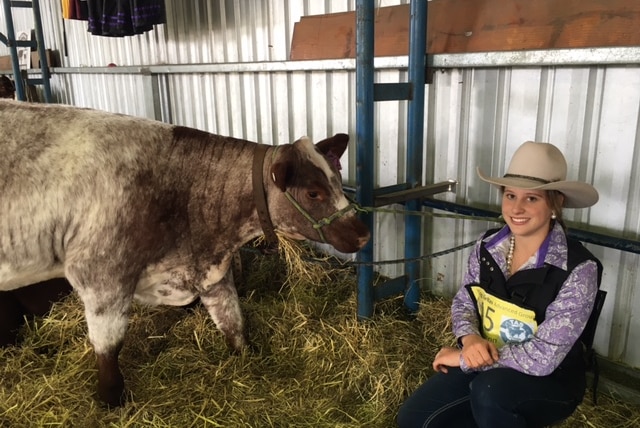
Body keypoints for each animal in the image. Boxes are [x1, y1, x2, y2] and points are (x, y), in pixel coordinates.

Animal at [0, 99, 370, 404]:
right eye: (312, 193)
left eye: (338, 181)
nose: (363, 235)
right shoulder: (101, 275)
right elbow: (108, 347)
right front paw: (110, 400)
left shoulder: (211, 270)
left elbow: (233, 322)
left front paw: (247, 360)